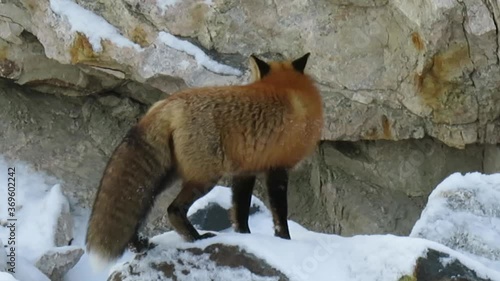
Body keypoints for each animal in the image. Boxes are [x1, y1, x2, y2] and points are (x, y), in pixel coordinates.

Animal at [84, 52, 322, 266]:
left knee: (136, 210)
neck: (290, 90)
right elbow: (280, 214)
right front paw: (285, 242)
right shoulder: (277, 168)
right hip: (205, 178)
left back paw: (139, 245)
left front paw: (245, 237)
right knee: (173, 209)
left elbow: (240, 211)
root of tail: (168, 103)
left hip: (165, 176)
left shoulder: (245, 170)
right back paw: (196, 238)